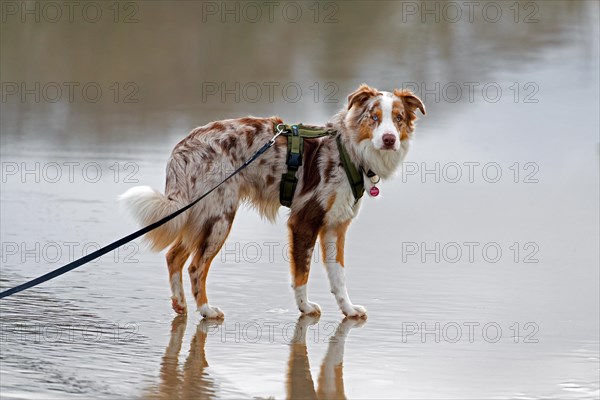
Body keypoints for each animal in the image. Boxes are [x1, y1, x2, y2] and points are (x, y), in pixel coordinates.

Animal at [119, 83, 424, 318]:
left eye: (398, 118)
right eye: (374, 117)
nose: (389, 139)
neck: (349, 151)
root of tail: (183, 147)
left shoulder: (335, 225)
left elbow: (338, 276)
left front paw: (347, 310)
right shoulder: (304, 220)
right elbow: (302, 273)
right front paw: (304, 307)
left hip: (198, 214)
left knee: (174, 256)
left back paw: (181, 304)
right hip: (219, 216)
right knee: (196, 267)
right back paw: (205, 310)